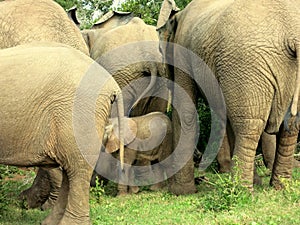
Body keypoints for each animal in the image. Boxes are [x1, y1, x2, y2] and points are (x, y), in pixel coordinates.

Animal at [157, 0, 300, 193]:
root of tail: (292, 35)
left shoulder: (183, 53)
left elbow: (185, 111)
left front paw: (179, 192)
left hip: (246, 63)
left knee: (249, 126)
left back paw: (241, 190)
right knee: (290, 128)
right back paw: (280, 187)